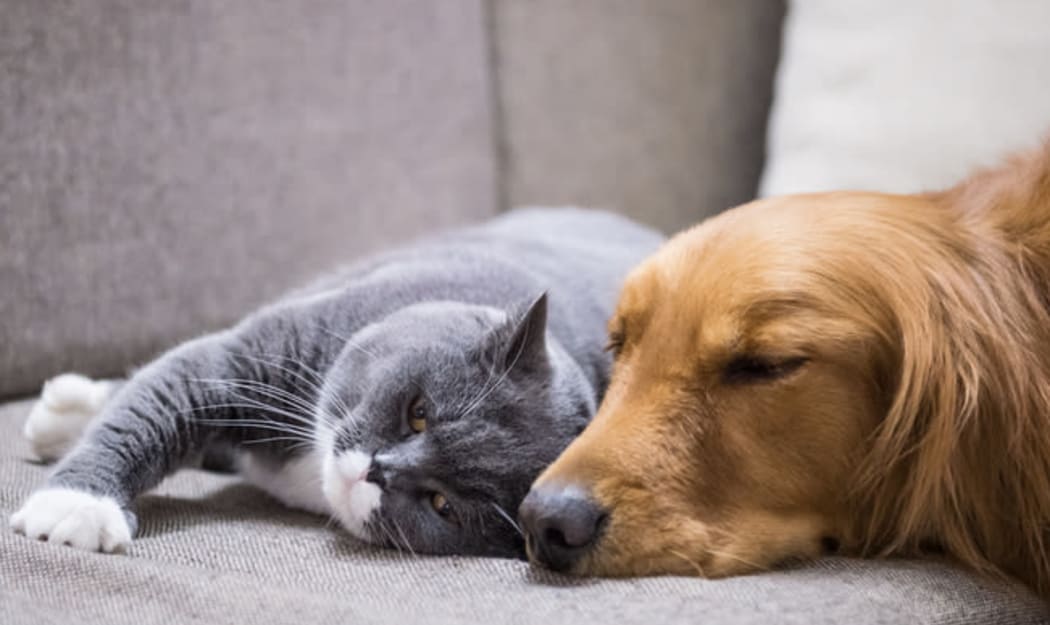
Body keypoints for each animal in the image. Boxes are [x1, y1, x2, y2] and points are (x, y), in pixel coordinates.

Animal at [10, 207, 663, 558]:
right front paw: (78, 508)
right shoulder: (249, 357)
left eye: (441, 503)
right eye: (418, 411)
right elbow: (155, 406)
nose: (377, 469)